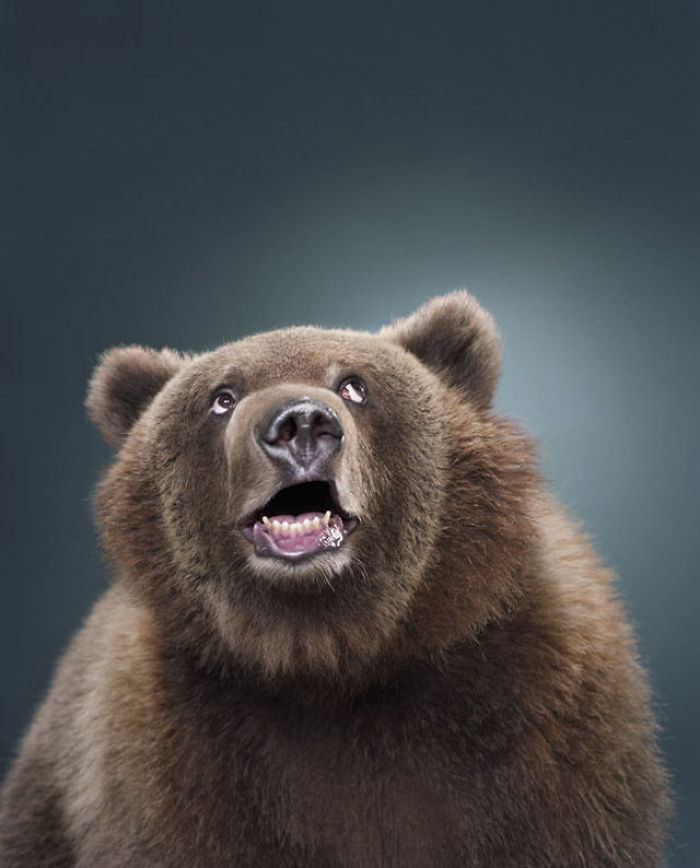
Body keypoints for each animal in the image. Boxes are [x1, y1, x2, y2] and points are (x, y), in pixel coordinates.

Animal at [0, 292, 670, 866]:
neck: (334, 654)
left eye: (353, 384)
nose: (299, 424)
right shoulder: (175, 749)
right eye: (222, 397)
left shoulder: (544, 723)